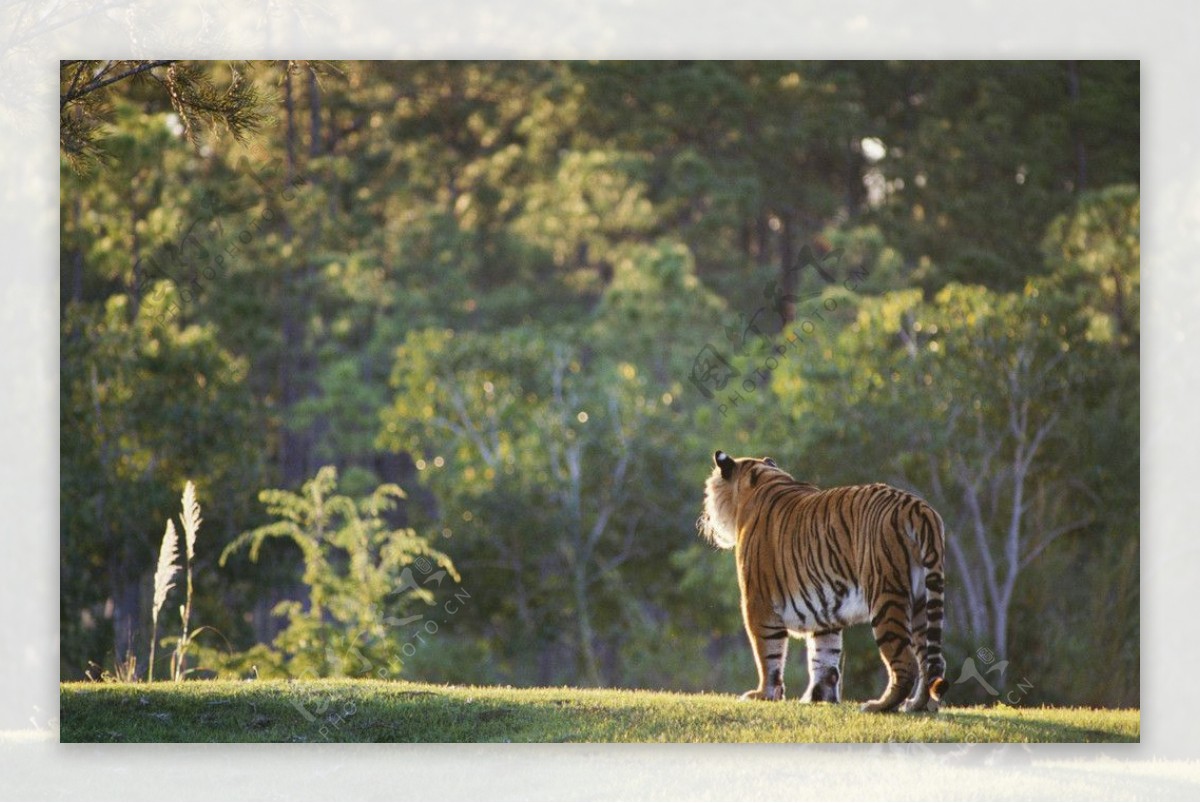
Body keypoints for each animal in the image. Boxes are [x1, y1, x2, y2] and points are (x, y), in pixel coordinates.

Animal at [696, 451, 945, 715]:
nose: (706, 519)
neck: (761, 480)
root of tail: (919, 508)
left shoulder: (757, 602)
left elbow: (768, 653)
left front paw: (764, 694)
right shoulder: (824, 602)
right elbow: (824, 654)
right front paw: (819, 697)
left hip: (885, 596)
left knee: (906, 662)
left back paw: (878, 706)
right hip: (921, 602)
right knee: (930, 660)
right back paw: (917, 705)